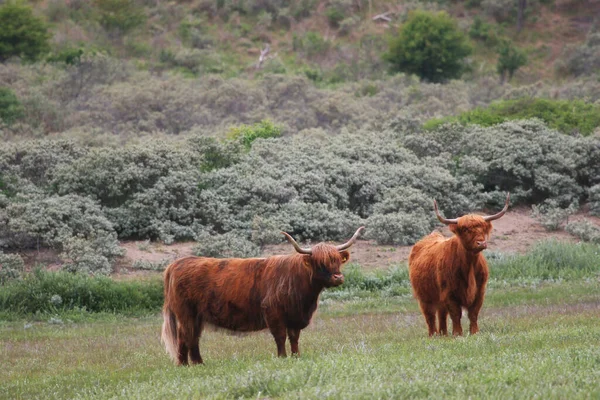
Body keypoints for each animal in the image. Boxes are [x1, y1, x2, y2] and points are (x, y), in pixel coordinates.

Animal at [162, 227, 364, 364]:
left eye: (337, 260)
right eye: (320, 263)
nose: (338, 277)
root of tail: (178, 263)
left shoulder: (295, 316)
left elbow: (294, 337)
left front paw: (296, 356)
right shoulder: (273, 313)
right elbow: (280, 336)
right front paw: (282, 357)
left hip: (197, 316)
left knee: (193, 338)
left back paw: (198, 364)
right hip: (186, 314)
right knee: (185, 337)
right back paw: (185, 365)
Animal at [408, 195, 506, 336]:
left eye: (482, 228)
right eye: (465, 229)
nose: (481, 243)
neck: (469, 267)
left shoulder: (479, 291)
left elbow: (473, 313)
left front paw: (474, 332)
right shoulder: (449, 293)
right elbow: (455, 314)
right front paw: (457, 333)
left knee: (441, 314)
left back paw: (443, 334)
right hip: (424, 297)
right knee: (430, 316)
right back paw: (433, 335)